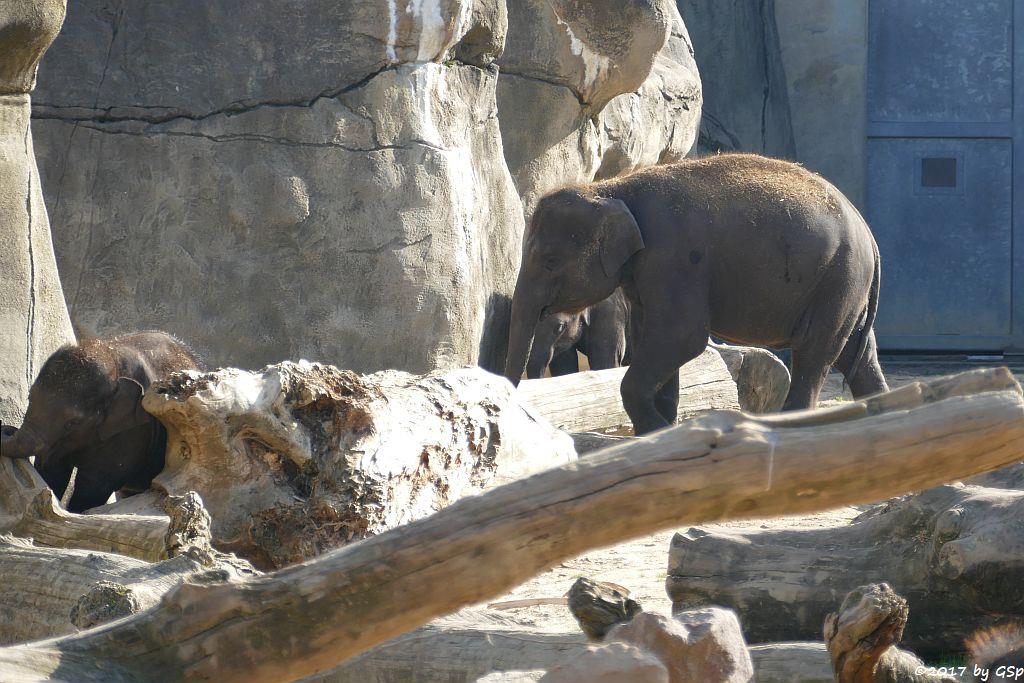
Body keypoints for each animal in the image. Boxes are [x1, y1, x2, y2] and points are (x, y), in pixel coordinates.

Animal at [0, 331, 201, 511]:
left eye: (73, 423)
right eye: (29, 398)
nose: (8, 428)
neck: (111, 357)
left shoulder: (134, 429)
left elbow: (94, 484)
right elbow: (53, 471)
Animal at [503, 152, 888, 436]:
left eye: (550, 261)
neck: (611, 189)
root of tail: (869, 234)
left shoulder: (673, 257)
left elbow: (680, 338)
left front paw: (657, 429)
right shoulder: (646, 274)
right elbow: (652, 337)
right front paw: (662, 431)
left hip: (839, 280)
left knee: (814, 352)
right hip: (845, 287)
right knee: (856, 353)